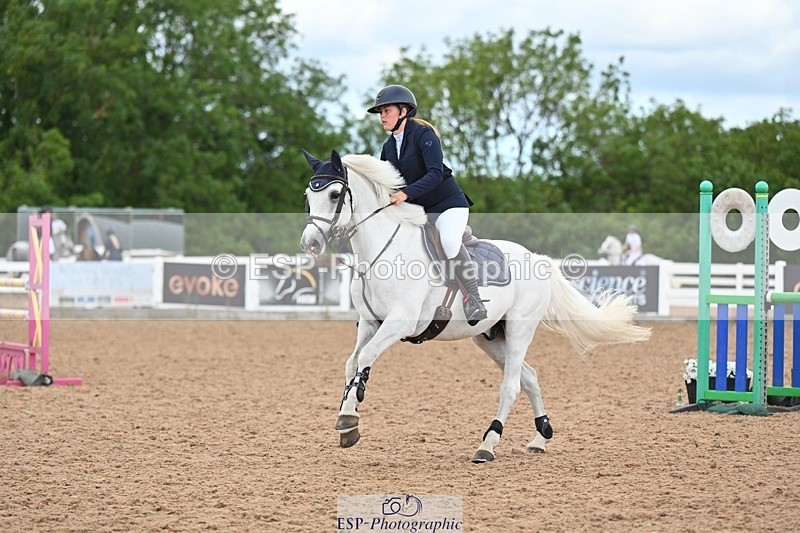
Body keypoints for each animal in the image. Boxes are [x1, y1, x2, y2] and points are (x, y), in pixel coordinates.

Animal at [300, 150, 651, 463]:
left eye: (334, 195)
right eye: (308, 197)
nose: (310, 244)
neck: (382, 252)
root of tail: (539, 259)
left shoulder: (400, 322)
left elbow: (367, 358)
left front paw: (349, 418)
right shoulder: (370, 322)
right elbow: (352, 363)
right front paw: (348, 423)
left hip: (520, 328)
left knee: (511, 386)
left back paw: (488, 445)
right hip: (491, 338)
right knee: (529, 376)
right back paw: (541, 436)